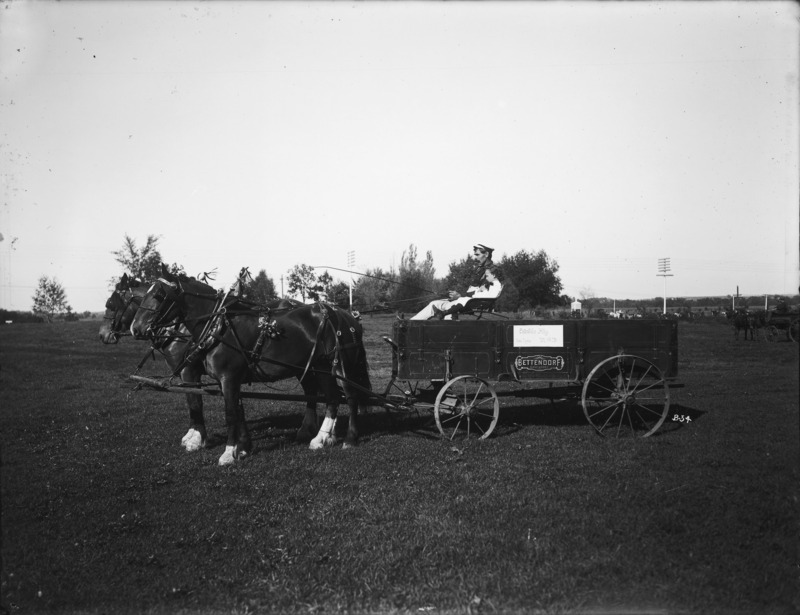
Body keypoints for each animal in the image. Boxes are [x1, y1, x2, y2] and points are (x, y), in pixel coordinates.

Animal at [101, 274, 312, 452]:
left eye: (111, 304)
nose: (103, 335)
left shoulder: (190, 371)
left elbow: (194, 401)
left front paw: (196, 439)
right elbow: (233, 405)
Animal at [129, 270, 372, 466]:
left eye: (159, 296)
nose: (136, 328)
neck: (218, 326)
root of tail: (347, 316)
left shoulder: (224, 377)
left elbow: (226, 413)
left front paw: (226, 453)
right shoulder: (229, 379)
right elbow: (237, 410)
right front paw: (243, 448)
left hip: (340, 367)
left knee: (348, 397)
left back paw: (348, 438)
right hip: (320, 368)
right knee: (331, 397)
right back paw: (322, 437)